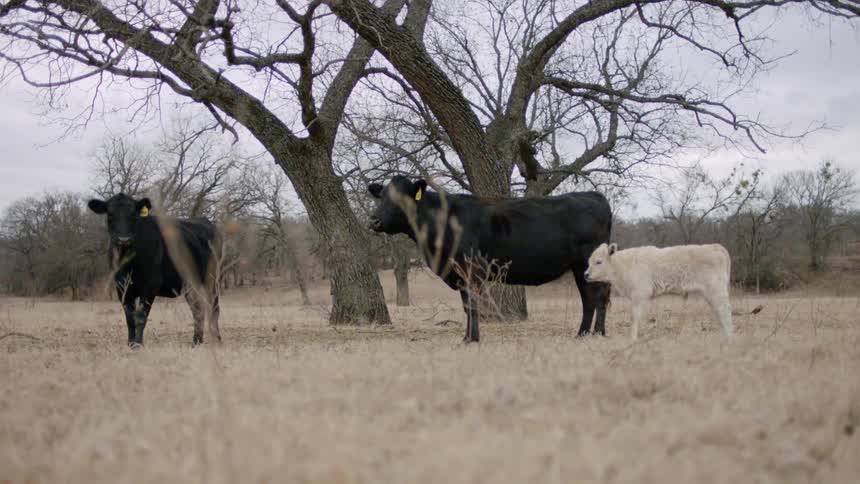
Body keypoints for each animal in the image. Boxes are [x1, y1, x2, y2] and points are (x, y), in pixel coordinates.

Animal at [87, 193, 222, 348]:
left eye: (133, 214)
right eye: (110, 214)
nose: (123, 239)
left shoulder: (150, 285)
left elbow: (141, 316)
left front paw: (138, 345)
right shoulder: (121, 287)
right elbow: (129, 318)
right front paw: (130, 343)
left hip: (211, 280)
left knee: (213, 308)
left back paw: (217, 340)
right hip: (190, 284)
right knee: (198, 310)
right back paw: (196, 342)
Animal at [367, 176, 612, 343]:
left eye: (402, 199)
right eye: (382, 197)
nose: (374, 220)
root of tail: (594, 195)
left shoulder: (470, 269)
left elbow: (473, 306)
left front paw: (472, 339)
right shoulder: (459, 274)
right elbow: (467, 306)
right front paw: (467, 337)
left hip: (590, 263)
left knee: (599, 297)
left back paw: (599, 333)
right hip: (580, 268)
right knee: (588, 298)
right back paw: (582, 334)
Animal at [584, 243, 733, 340]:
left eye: (598, 262)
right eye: (589, 261)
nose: (585, 274)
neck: (623, 266)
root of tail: (715, 247)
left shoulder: (640, 294)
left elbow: (635, 317)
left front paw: (632, 338)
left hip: (717, 290)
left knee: (725, 311)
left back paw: (729, 337)